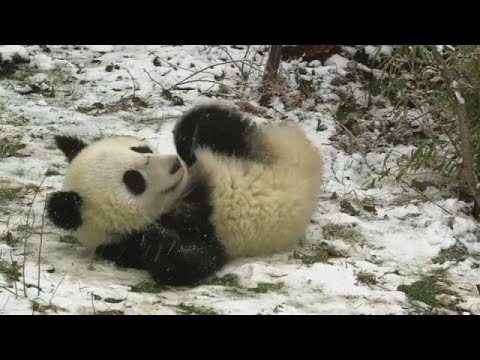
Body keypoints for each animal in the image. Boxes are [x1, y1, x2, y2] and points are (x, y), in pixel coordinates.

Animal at [47, 102, 324, 286]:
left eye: (140, 149)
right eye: (133, 180)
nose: (173, 165)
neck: (182, 197)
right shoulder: (127, 246)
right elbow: (190, 263)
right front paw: (161, 244)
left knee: (217, 125)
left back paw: (191, 136)